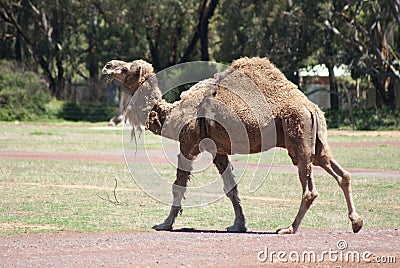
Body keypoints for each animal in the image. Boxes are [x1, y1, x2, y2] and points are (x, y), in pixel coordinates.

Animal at [101, 57, 362, 233]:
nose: (107, 66)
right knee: (342, 173)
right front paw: (238, 225)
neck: (173, 113)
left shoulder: (188, 144)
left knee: (310, 189)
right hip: (316, 144)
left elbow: (178, 186)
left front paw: (165, 223)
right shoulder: (218, 150)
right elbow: (231, 188)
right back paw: (356, 222)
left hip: (298, 139)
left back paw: (289, 228)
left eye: (125, 69)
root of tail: (311, 108)